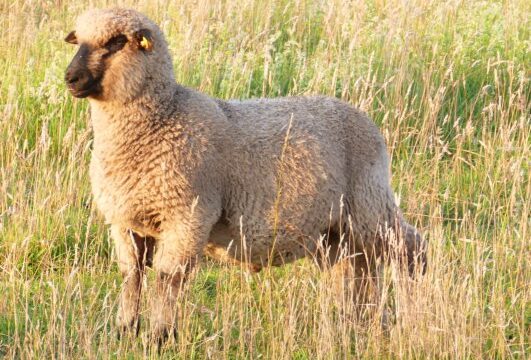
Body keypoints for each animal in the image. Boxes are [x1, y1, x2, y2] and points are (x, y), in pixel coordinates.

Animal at [63, 7, 428, 342]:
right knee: (356, 269)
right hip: (336, 232)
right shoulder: (125, 221)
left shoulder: (188, 216)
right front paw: (125, 330)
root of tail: (367, 122)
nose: (70, 78)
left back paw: (410, 321)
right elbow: (132, 275)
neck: (163, 117)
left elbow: (170, 279)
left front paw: (160, 336)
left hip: (369, 205)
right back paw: (359, 323)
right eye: (78, 40)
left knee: (410, 250)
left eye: (116, 42)